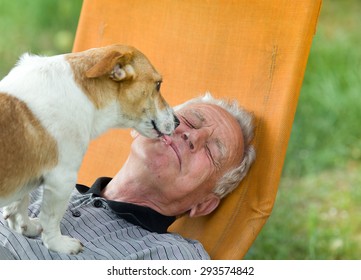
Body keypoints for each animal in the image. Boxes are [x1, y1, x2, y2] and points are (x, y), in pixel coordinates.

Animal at [0, 43, 179, 254]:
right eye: (158, 85)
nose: (177, 121)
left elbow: (21, 202)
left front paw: (24, 225)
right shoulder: (62, 181)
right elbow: (51, 220)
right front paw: (59, 245)